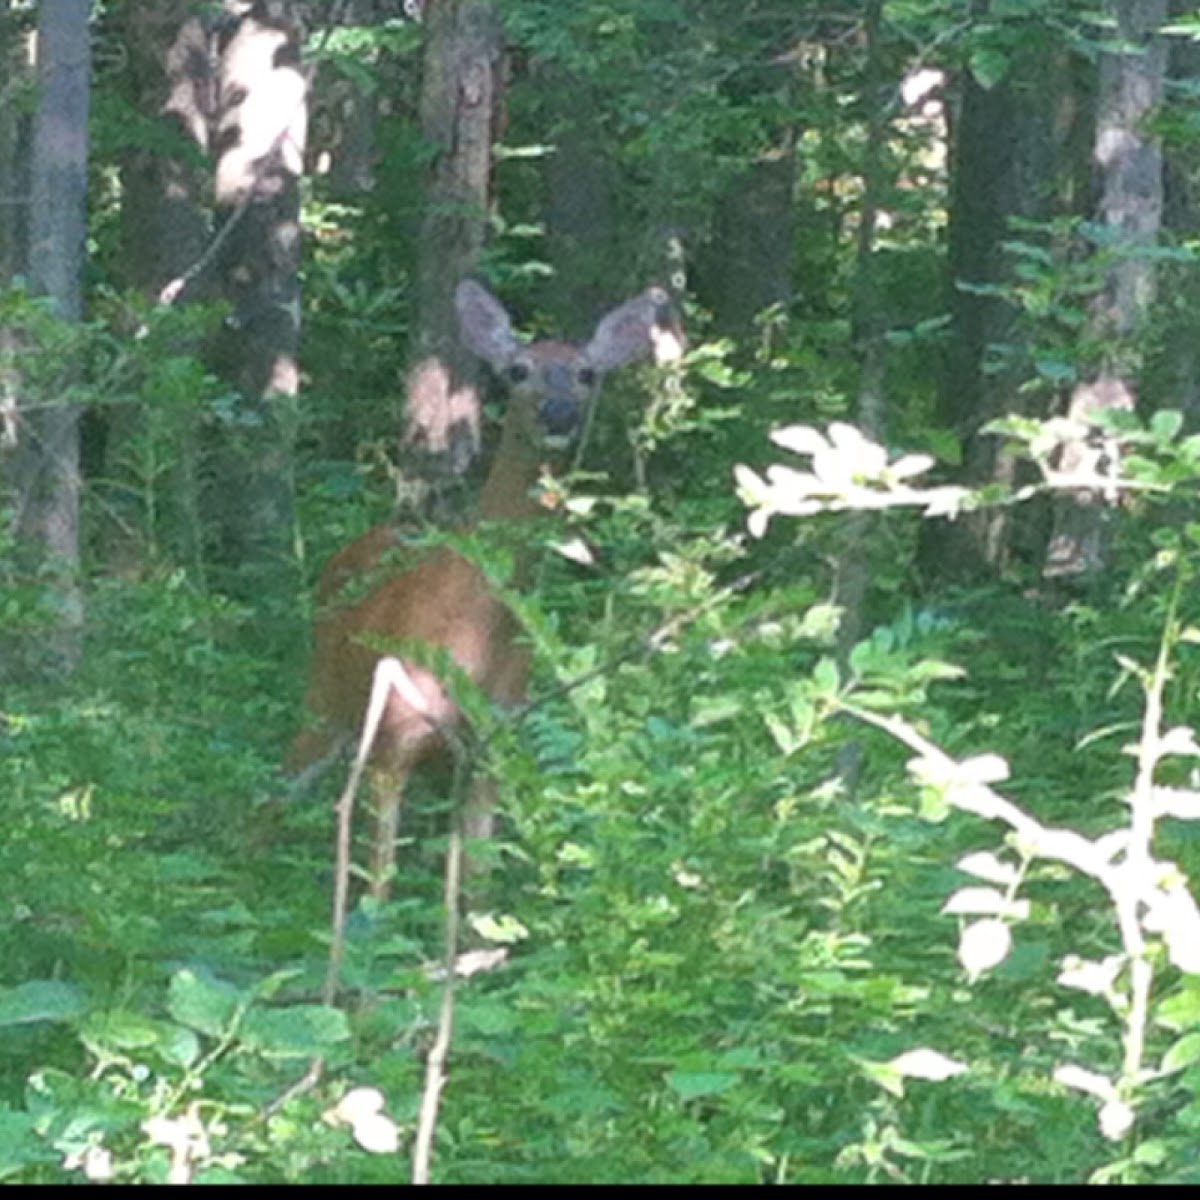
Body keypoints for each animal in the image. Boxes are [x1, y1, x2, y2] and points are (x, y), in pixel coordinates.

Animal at [286, 280, 672, 897]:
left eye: (587, 373)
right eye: (518, 369)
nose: (559, 412)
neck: (471, 628)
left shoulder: (494, 745)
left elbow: (478, 885)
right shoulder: (395, 737)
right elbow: (379, 886)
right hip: (324, 697)